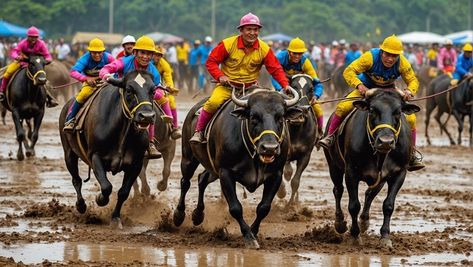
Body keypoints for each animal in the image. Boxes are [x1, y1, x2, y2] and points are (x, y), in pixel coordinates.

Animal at [58, 69, 155, 228]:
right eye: (129, 90)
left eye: (153, 90)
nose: (146, 116)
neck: (122, 133)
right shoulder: (95, 157)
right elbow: (106, 187)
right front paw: (100, 199)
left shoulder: (136, 164)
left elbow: (123, 192)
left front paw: (115, 218)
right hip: (69, 154)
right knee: (76, 180)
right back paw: (81, 205)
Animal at [171, 87, 300, 249]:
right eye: (253, 117)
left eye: (280, 117)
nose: (269, 148)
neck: (254, 157)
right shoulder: (225, 172)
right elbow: (235, 208)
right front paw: (249, 237)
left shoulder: (275, 175)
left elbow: (264, 208)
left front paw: (253, 232)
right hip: (188, 158)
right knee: (185, 182)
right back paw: (179, 215)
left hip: (213, 169)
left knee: (202, 179)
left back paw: (198, 215)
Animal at [322, 89, 418, 249]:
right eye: (372, 110)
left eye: (398, 112)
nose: (385, 141)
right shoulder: (351, 172)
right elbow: (354, 205)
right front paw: (355, 235)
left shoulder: (399, 173)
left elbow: (388, 205)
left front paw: (385, 237)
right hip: (334, 166)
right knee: (338, 190)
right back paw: (340, 223)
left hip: (379, 179)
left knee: (370, 194)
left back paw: (364, 221)